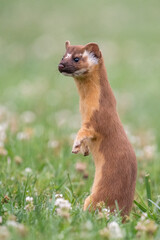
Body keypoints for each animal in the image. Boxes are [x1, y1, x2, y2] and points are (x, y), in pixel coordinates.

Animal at [58, 40, 137, 216]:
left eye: (76, 58)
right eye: (63, 55)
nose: (61, 65)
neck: (84, 107)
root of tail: (125, 212)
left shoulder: (97, 118)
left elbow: (85, 131)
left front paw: (76, 145)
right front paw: (84, 149)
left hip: (97, 197)